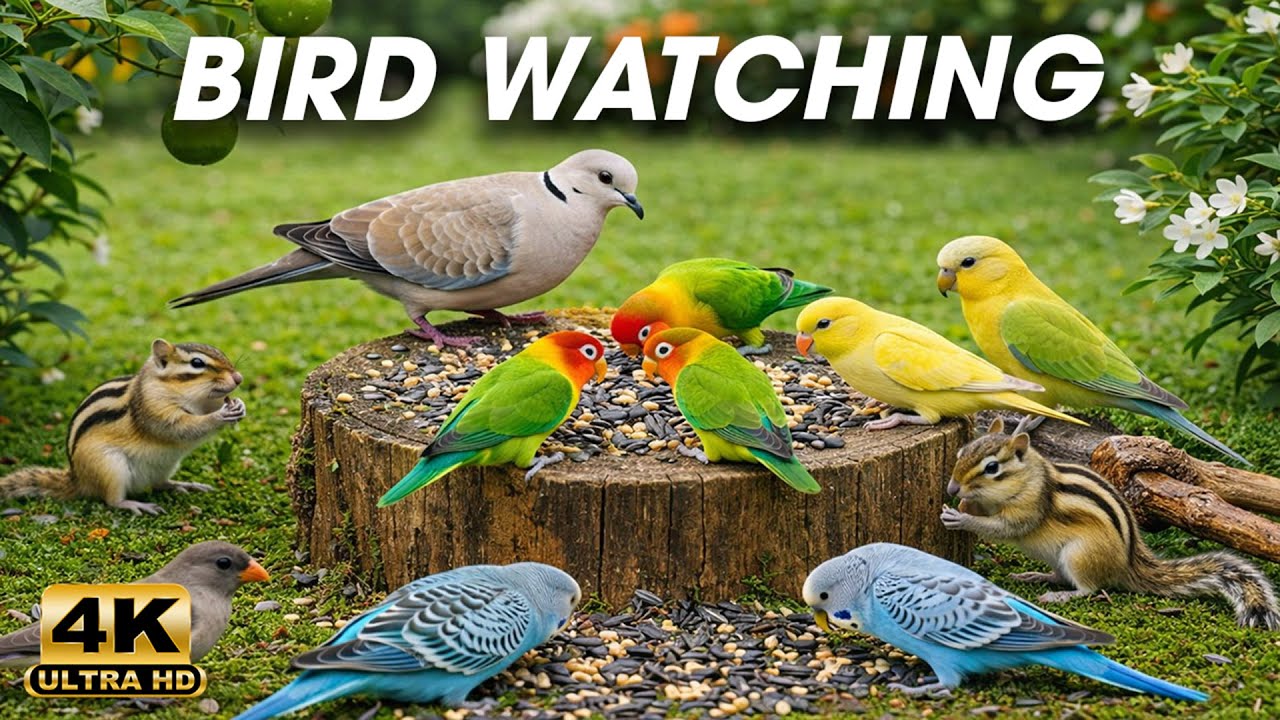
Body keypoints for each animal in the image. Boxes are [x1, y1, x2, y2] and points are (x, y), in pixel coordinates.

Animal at [0, 339, 246, 515]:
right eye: (197, 363)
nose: (239, 378)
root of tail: (78, 480)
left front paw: (238, 405)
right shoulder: (153, 409)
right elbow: (182, 428)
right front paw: (219, 415)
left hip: (165, 465)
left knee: (159, 483)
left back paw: (183, 484)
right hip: (110, 467)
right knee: (112, 500)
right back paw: (135, 505)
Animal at [941, 417, 1280, 630]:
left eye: (992, 468)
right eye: (961, 452)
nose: (952, 489)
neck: (1028, 478)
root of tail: (1128, 565)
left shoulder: (1029, 508)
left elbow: (1004, 528)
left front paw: (960, 517)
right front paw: (965, 505)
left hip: (1078, 555)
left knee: (1090, 588)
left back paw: (1060, 595)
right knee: (1061, 576)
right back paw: (1036, 576)